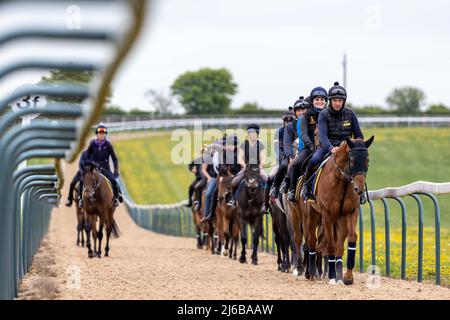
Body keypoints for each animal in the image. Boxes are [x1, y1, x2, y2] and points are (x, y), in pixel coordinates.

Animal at [304, 136, 374, 284]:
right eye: (351, 160)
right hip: (312, 214)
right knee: (311, 240)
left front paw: (347, 276)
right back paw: (311, 273)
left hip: (339, 219)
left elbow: (351, 238)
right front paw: (331, 276)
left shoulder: (351, 212)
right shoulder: (327, 214)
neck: (343, 182)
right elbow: (330, 244)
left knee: (338, 245)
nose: (359, 189)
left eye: (367, 160)